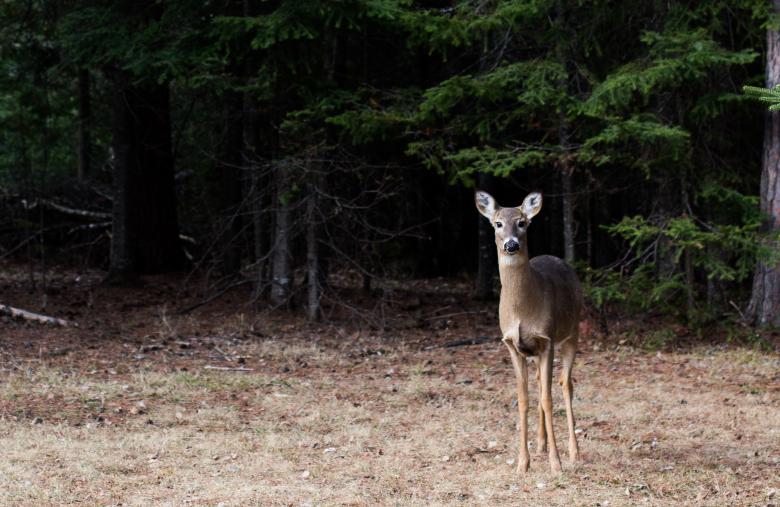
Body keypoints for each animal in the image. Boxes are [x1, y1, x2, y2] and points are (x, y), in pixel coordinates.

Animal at [475, 190, 582, 475]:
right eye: (498, 223)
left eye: (522, 223)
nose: (511, 245)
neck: (522, 310)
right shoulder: (513, 345)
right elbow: (523, 398)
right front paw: (523, 462)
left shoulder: (547, 339)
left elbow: (547, 398)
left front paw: (556, 463)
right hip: (535, 351)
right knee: (539, 381)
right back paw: (541, 443)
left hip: (573, 332)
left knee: (566, 384)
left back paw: (574, 452)